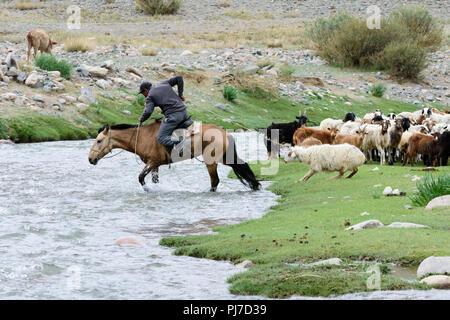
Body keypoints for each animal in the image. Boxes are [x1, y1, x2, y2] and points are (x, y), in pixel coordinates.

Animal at [87, 119, 260, 190]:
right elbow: (154, 180)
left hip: (211, 161)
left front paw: (148, 190)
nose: (90, 159)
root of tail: (224, 133)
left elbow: (141, 178)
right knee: (242, 166)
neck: (142, 136)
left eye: (99, 140)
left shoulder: (152, 162)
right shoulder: (155, 165)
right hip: (224, 157)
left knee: (215, 181)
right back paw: (255, 185)